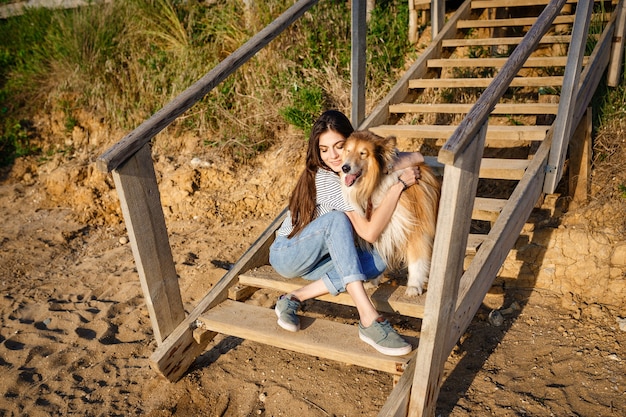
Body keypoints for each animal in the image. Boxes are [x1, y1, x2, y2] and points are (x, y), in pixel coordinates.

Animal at [338, 130, 442, 296]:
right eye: (348, 151)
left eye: (363, 153)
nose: (345, 168)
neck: (378, 182)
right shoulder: (384, 228)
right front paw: (374, 280)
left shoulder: (415, 228)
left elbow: (416, 260)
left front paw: (414, 286)